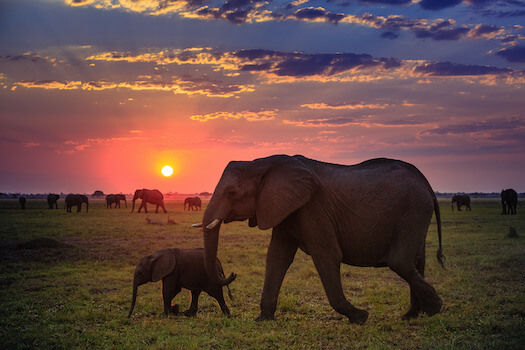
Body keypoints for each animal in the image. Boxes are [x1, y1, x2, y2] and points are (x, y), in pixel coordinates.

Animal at [201, 154, 442, 324]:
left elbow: (327, 255)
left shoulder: (313, 209)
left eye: (232, 193)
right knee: (416, 261)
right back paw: (411, 315)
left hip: (413, 211)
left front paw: (360, 317)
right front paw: (262, 319)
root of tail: (426, 182)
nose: (231, 274)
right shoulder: (284, 210)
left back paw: (435, 309)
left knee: (400, 261)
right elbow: (277, 258)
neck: (262, 162)